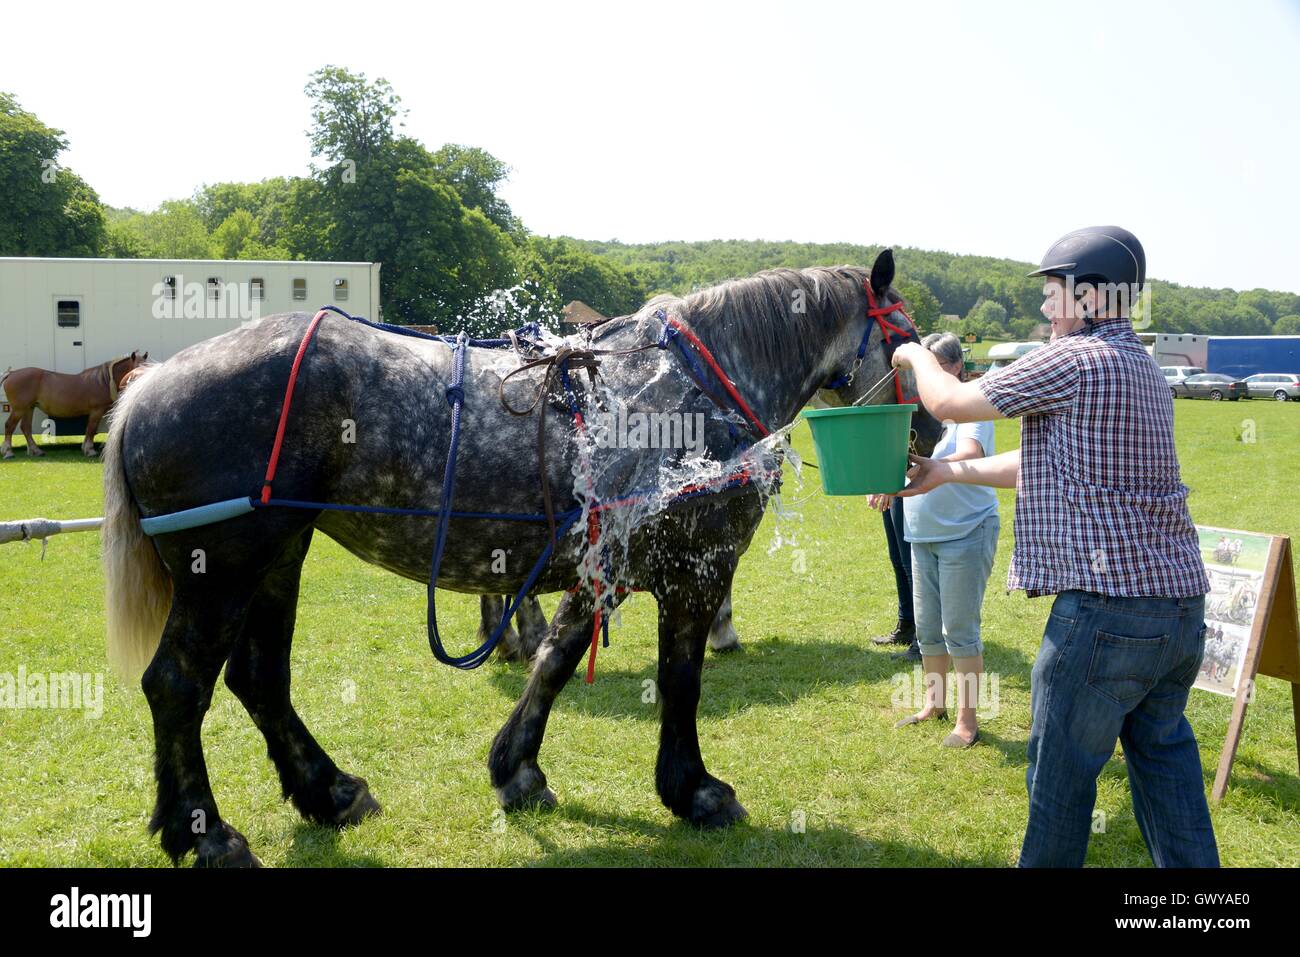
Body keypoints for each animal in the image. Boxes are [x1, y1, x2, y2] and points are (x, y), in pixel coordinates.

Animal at [1, 351, 148, 460]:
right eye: (137, 367)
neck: (104, 381)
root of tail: (11, 373)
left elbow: (90, 430)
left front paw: (85, 448)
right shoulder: (96, 411)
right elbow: (91, 429)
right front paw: (89, 450)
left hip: (28, 408)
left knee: (26, 428)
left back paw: (36, 451)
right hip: (19, 409)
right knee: (10, 426)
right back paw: (8, 452)